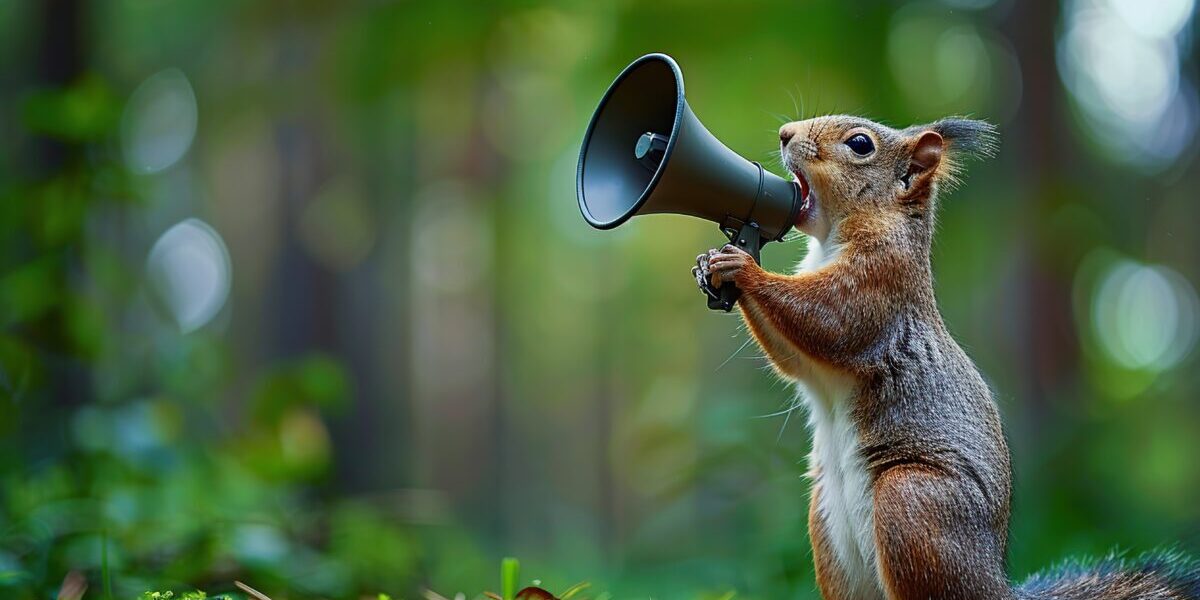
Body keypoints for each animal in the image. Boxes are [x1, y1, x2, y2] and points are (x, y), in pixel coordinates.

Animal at [692, 115, 1200, 600]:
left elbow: (828, 319)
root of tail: (992, 587)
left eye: (860, 145)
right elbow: (793, 359)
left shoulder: (880, 282)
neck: (835, 238)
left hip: (913, 503)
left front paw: (744, 268)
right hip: (828, 530)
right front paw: (707, 266)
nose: (784, 134)